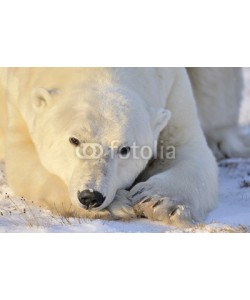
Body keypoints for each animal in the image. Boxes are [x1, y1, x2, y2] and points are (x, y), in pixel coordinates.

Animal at [0, 68, 248, 227]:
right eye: (74, 140)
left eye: (124, 149)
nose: (90, 197)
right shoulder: (20, 99)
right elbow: (25, 163)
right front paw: (117, 205)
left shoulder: (172, 88)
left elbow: (188, 149)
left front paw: (160, 202)